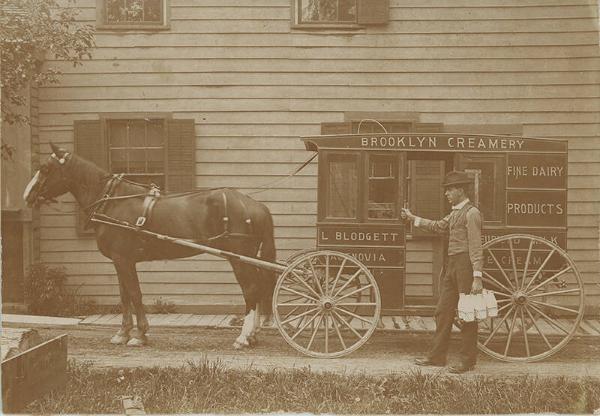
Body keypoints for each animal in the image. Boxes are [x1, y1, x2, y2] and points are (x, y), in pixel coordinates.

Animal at [23, 143, 276, 348]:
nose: (27, 195)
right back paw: (253, 334)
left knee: (251, 290)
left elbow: (135, 294)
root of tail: (255, 205)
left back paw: (243, 337)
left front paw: (140, 335)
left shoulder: (124, 260)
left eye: (45, 168)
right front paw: (122, 334)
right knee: (259, 289)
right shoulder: (119, 261)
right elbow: (124, 296)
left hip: (238, 257)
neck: (111, 202)